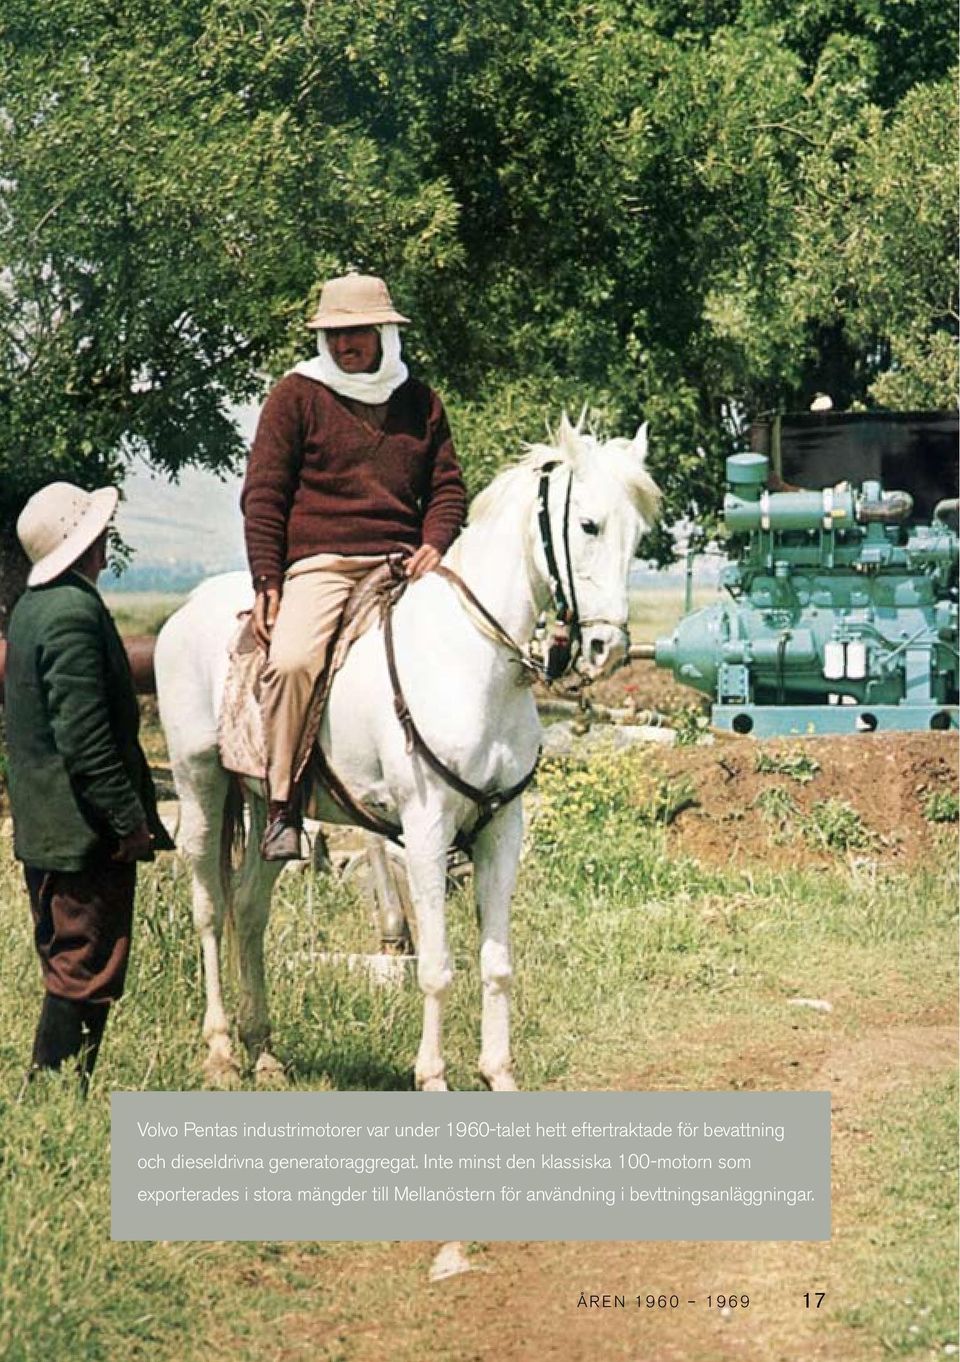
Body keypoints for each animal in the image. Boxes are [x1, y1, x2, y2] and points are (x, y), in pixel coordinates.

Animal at [153, 419, 659, 1089]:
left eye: (638, 534)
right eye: (589, 525)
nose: (608, 648)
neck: (474, 661)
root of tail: (185, 610)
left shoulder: (503, 828)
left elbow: (497, 963)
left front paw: (499, 1073)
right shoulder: (424, 829)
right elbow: (436, 965)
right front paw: (433, 1076)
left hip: (271, 809)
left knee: (250, 908)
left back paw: (263, 1049)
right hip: (199, 785)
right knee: (210, 908)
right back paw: (219, 1051)